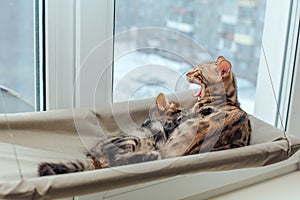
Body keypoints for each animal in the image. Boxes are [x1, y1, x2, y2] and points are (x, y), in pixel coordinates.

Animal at [38, 93, 186, 176]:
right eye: (179, 111)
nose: (186, 112)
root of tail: (92, 157)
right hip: (130, 139)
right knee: (118, 159)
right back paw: (150, 155)